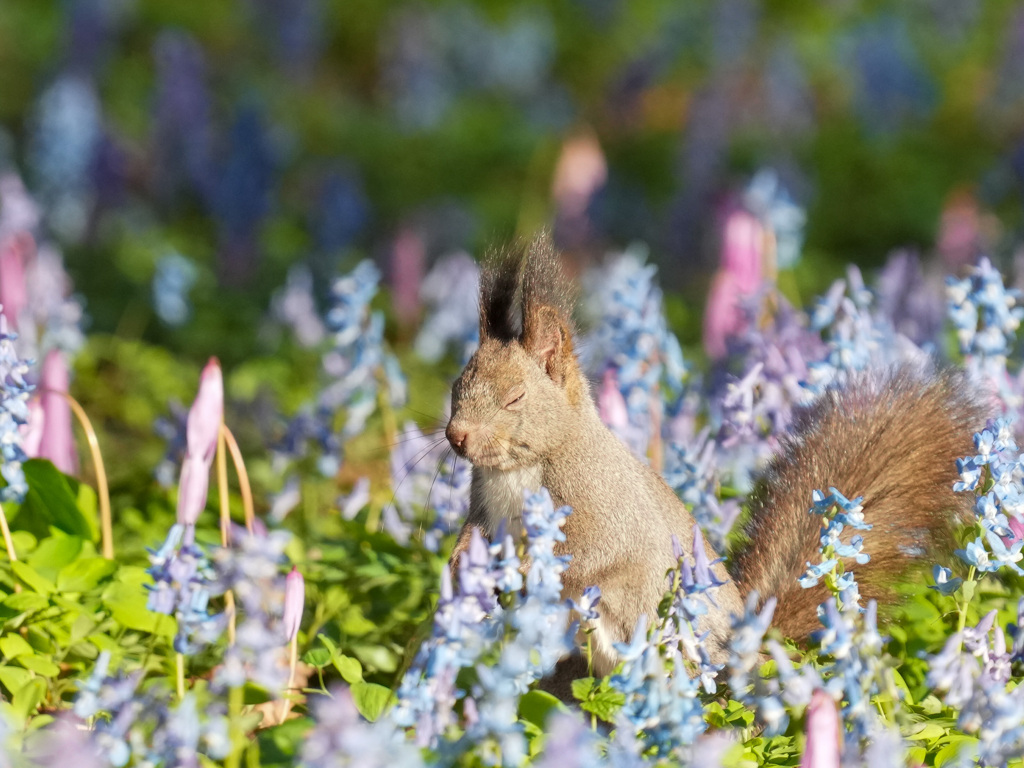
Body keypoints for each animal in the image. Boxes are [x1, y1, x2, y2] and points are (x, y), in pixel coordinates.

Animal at [444, 234, 987, 679]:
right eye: (456, 385)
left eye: (515, 398)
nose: (456, 436)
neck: (519, 468)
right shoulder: (485, 502)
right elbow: (474, 530)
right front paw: (459, 564)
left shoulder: (600, 502)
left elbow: (592, 554)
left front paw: (527, 570)